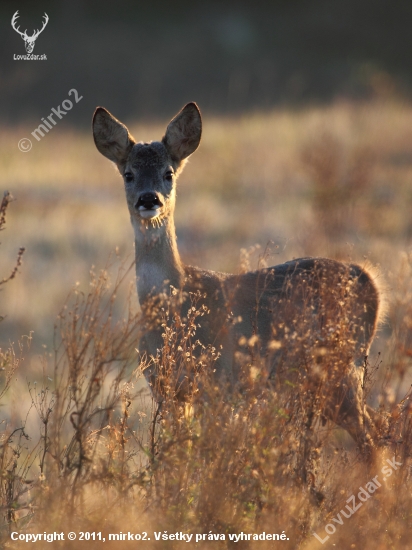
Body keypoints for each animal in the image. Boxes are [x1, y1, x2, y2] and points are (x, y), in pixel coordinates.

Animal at [92, 102, 384, 452]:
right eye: (128, 174)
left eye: (168, 173)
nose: (149, 199)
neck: (172, 307)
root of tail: (367, 278)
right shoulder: (166, 391)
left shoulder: (219, 381)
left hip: (342, 368)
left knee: (372, 439)